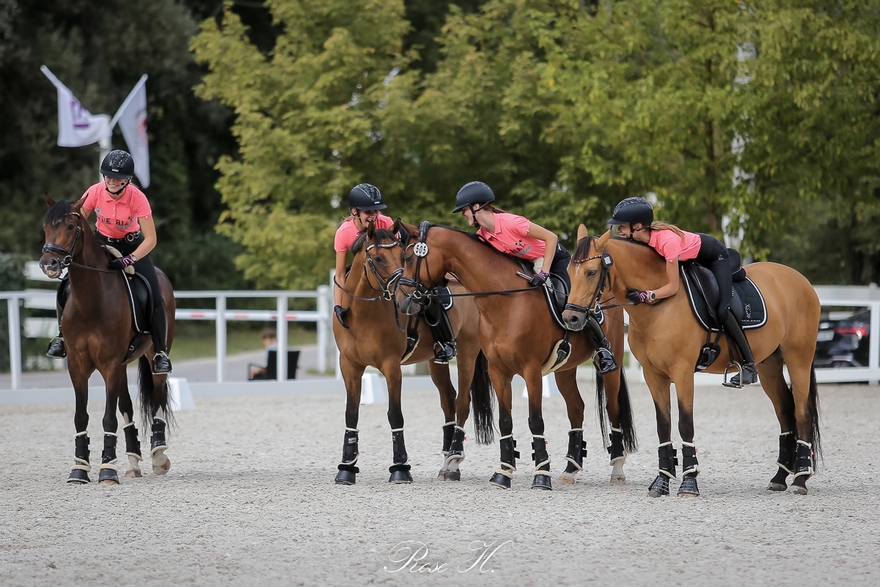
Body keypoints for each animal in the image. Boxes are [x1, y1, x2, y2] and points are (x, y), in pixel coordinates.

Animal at [39, 200, 176, 484]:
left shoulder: (110, 364)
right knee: (127, 407)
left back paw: (159, 456)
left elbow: (108, 419)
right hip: (122, 366)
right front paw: (79, 469)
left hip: (152, 356)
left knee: (158, 396)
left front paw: (107, 470)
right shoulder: (78, 367)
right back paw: (133, 462)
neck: (91, 300)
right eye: (45, 227)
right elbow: (81, 417)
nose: (49, 264)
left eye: (71, 226)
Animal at [332, 218, 496, 484]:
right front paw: (346, 468)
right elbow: (351, 414)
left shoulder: (391, 367)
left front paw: (400, 468)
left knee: (462, 401)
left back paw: (454, 461)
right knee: (448, 399)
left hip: (468, 353)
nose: (403, 296)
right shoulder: (349, 366)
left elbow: (395, 414)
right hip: (435, 361)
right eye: (378, 258)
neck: (362, 315)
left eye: (403, 256)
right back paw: (446, 459)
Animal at [396, 223, 636, 490]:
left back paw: (617, 468)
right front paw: (504, 473)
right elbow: (505, 421)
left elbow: (535, 420)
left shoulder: (531, 371)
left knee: (613, 409)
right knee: (576, 409)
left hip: (612, 364)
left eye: (408, 258)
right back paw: (570, 470)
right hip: (564, 369)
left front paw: (541, 475)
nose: (402, 300)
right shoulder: (499, 372)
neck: (504, 300)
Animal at [560, 225, 820, 496]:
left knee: (802, 412)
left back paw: (800, 479)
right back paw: (779, 477)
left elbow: (685, 424)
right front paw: (662, 481)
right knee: (785, 412)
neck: (657, 308)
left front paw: (689, 482)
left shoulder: (683, 372)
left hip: (798, 359)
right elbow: (663, 424)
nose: (570, 318)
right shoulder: (653, 375)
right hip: (769, 365)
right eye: (568, 272)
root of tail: (800, 279)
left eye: (591, 272)